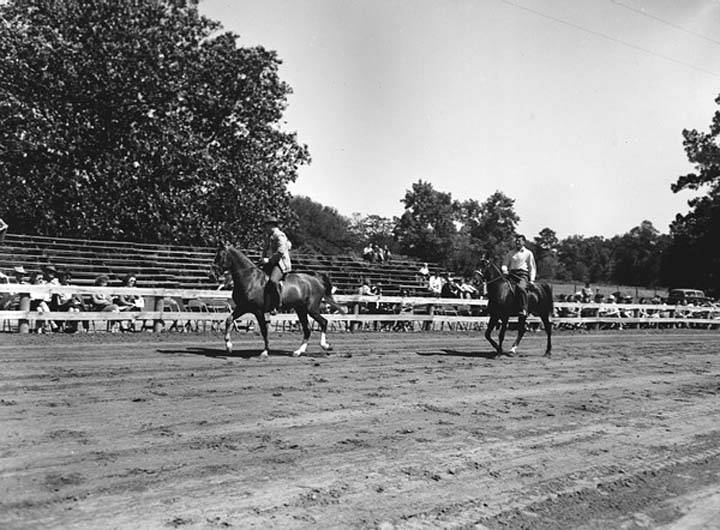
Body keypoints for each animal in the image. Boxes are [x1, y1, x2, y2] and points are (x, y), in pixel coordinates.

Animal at [210, 241, 344, 356]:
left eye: (220, 255)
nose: (212, 275)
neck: (250, 279)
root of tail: (316, 279)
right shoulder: (243, 307)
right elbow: (229, 320)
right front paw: (228, 346)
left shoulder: (258, 311)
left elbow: (264, 330)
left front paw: (265, 351)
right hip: (301, 310)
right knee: (307, 329)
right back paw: (298, 351)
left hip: (312, 309)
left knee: (323, 322)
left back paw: (325, 346)